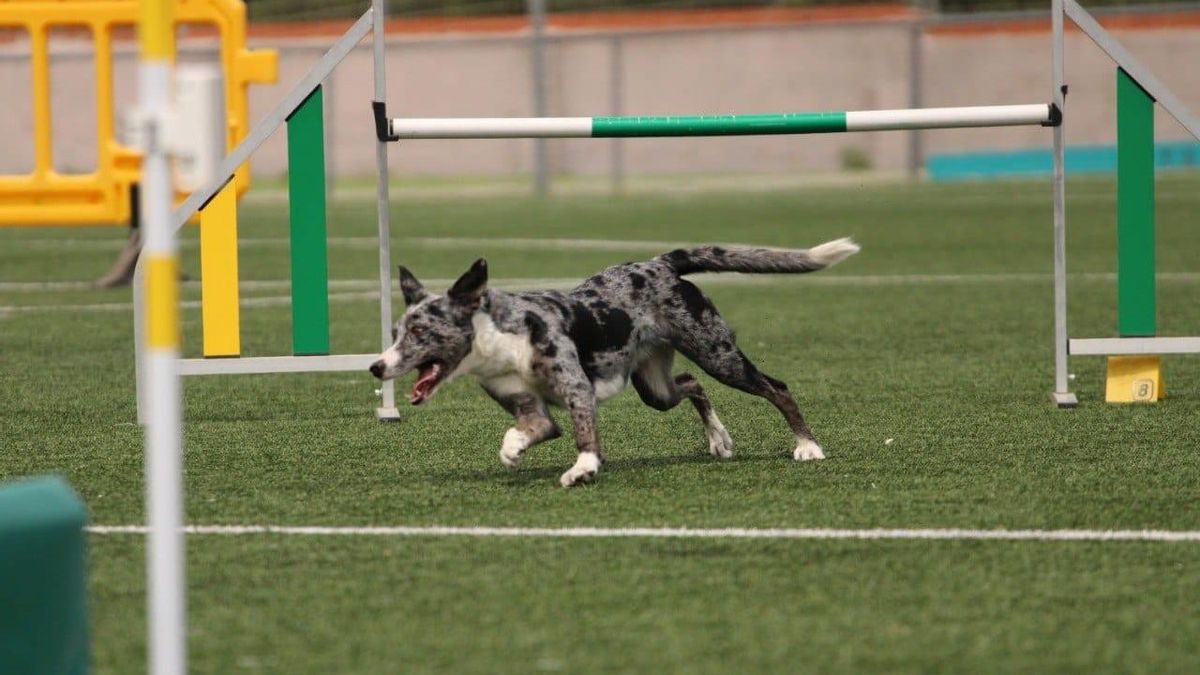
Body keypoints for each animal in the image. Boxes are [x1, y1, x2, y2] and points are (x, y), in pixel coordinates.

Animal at [369, 239, 859, 485]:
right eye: (395, 333)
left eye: (420, 333)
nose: (376, 367)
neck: (500, 338)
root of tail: (660, 263)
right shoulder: (529, 406)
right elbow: (527, 431)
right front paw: (514, 450)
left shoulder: (577, 389)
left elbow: (586, 438)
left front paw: (584, 468)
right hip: (654, 387)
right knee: (690, 383)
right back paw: (719, 439)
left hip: (718, 353)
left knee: (777, 387)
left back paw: (807, 446)